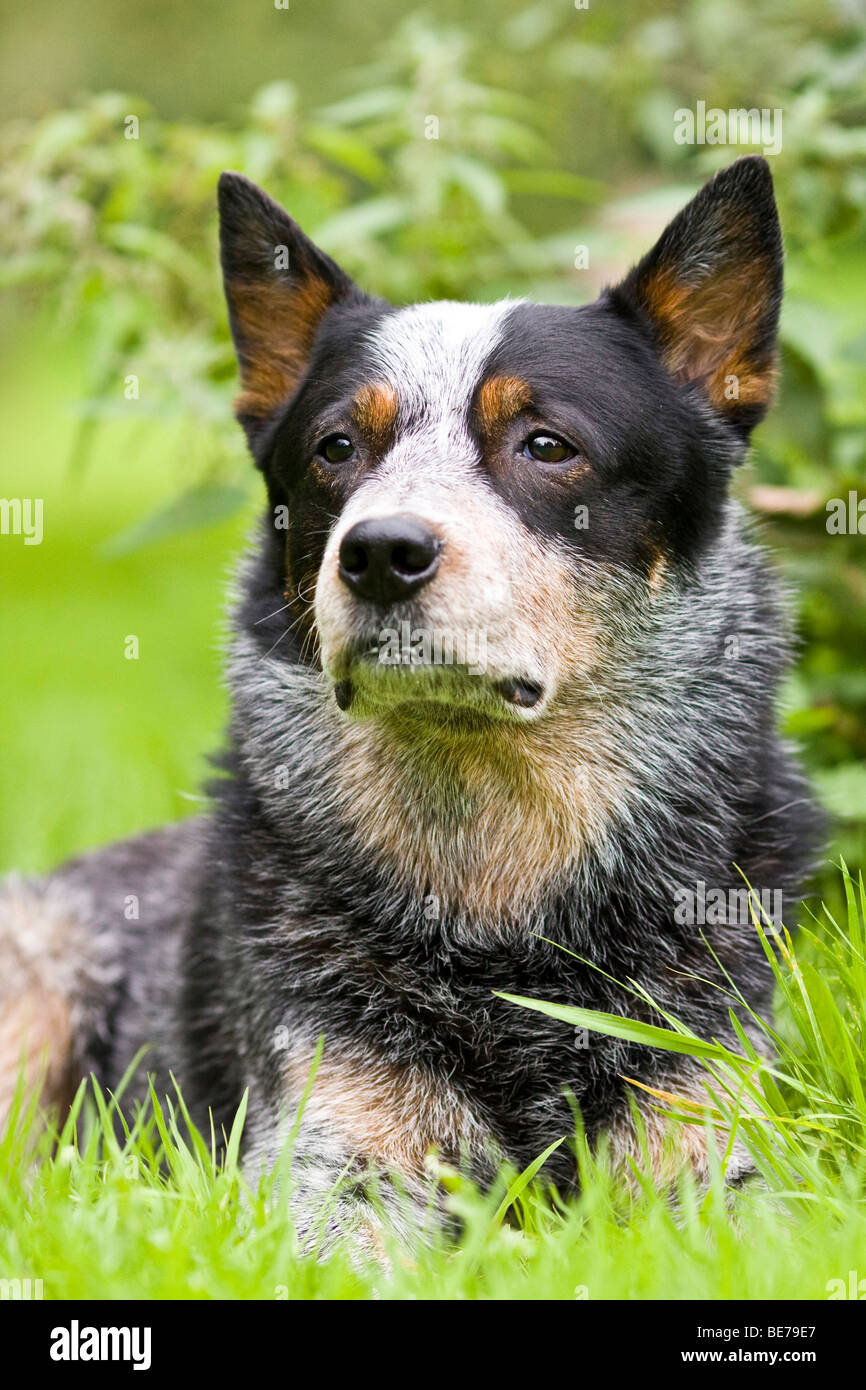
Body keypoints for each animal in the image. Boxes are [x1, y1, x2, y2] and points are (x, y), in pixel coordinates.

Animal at [3, 154, 822, 1251]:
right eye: (337, 448)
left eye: (546, 444)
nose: (381, 550)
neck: (497, 915)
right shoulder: (334, 1161)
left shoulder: (707, 1140)